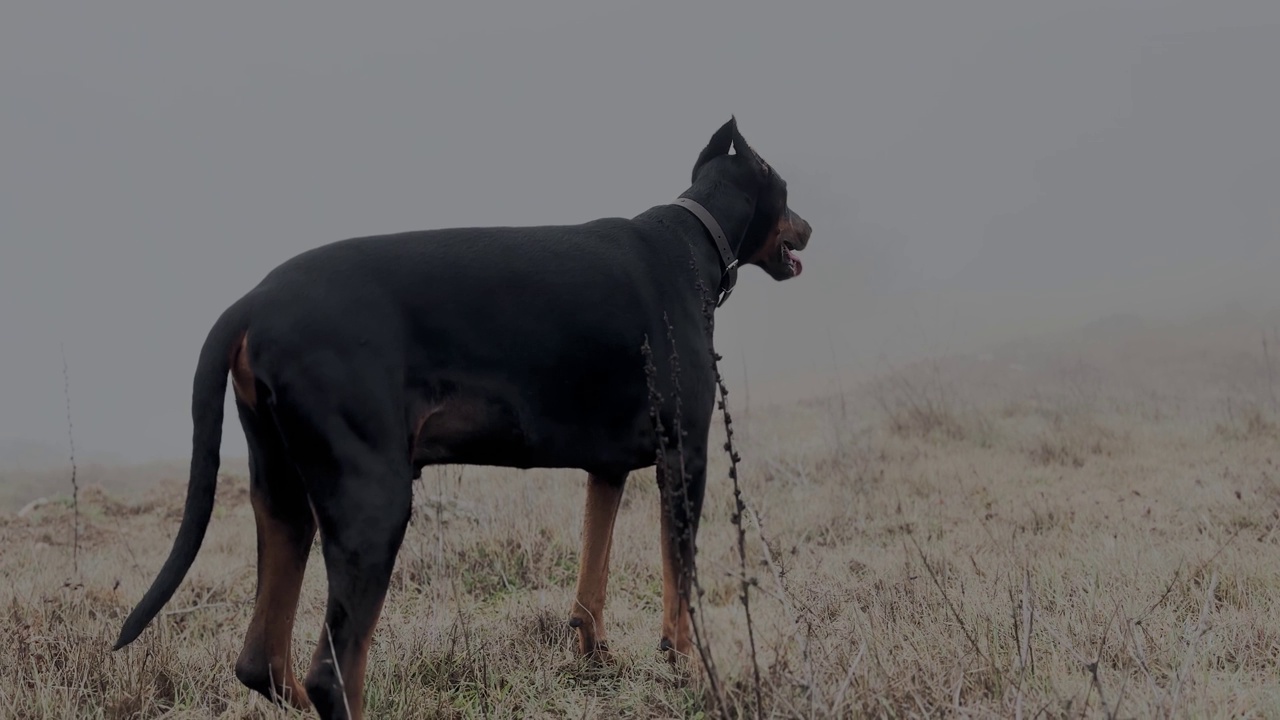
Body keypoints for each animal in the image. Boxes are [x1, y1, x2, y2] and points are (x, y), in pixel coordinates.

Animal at [112, 114, 808, 712]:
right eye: (787, 192)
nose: (807, 227)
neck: (694, 239)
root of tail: (252, 302)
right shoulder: (684, 455)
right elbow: (679, 582)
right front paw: (685, 667)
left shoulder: (606, 470)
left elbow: (593, 573)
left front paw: (596, 654)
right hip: (375, 502)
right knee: (333, 675)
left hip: (283, 496)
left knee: (264, 662)